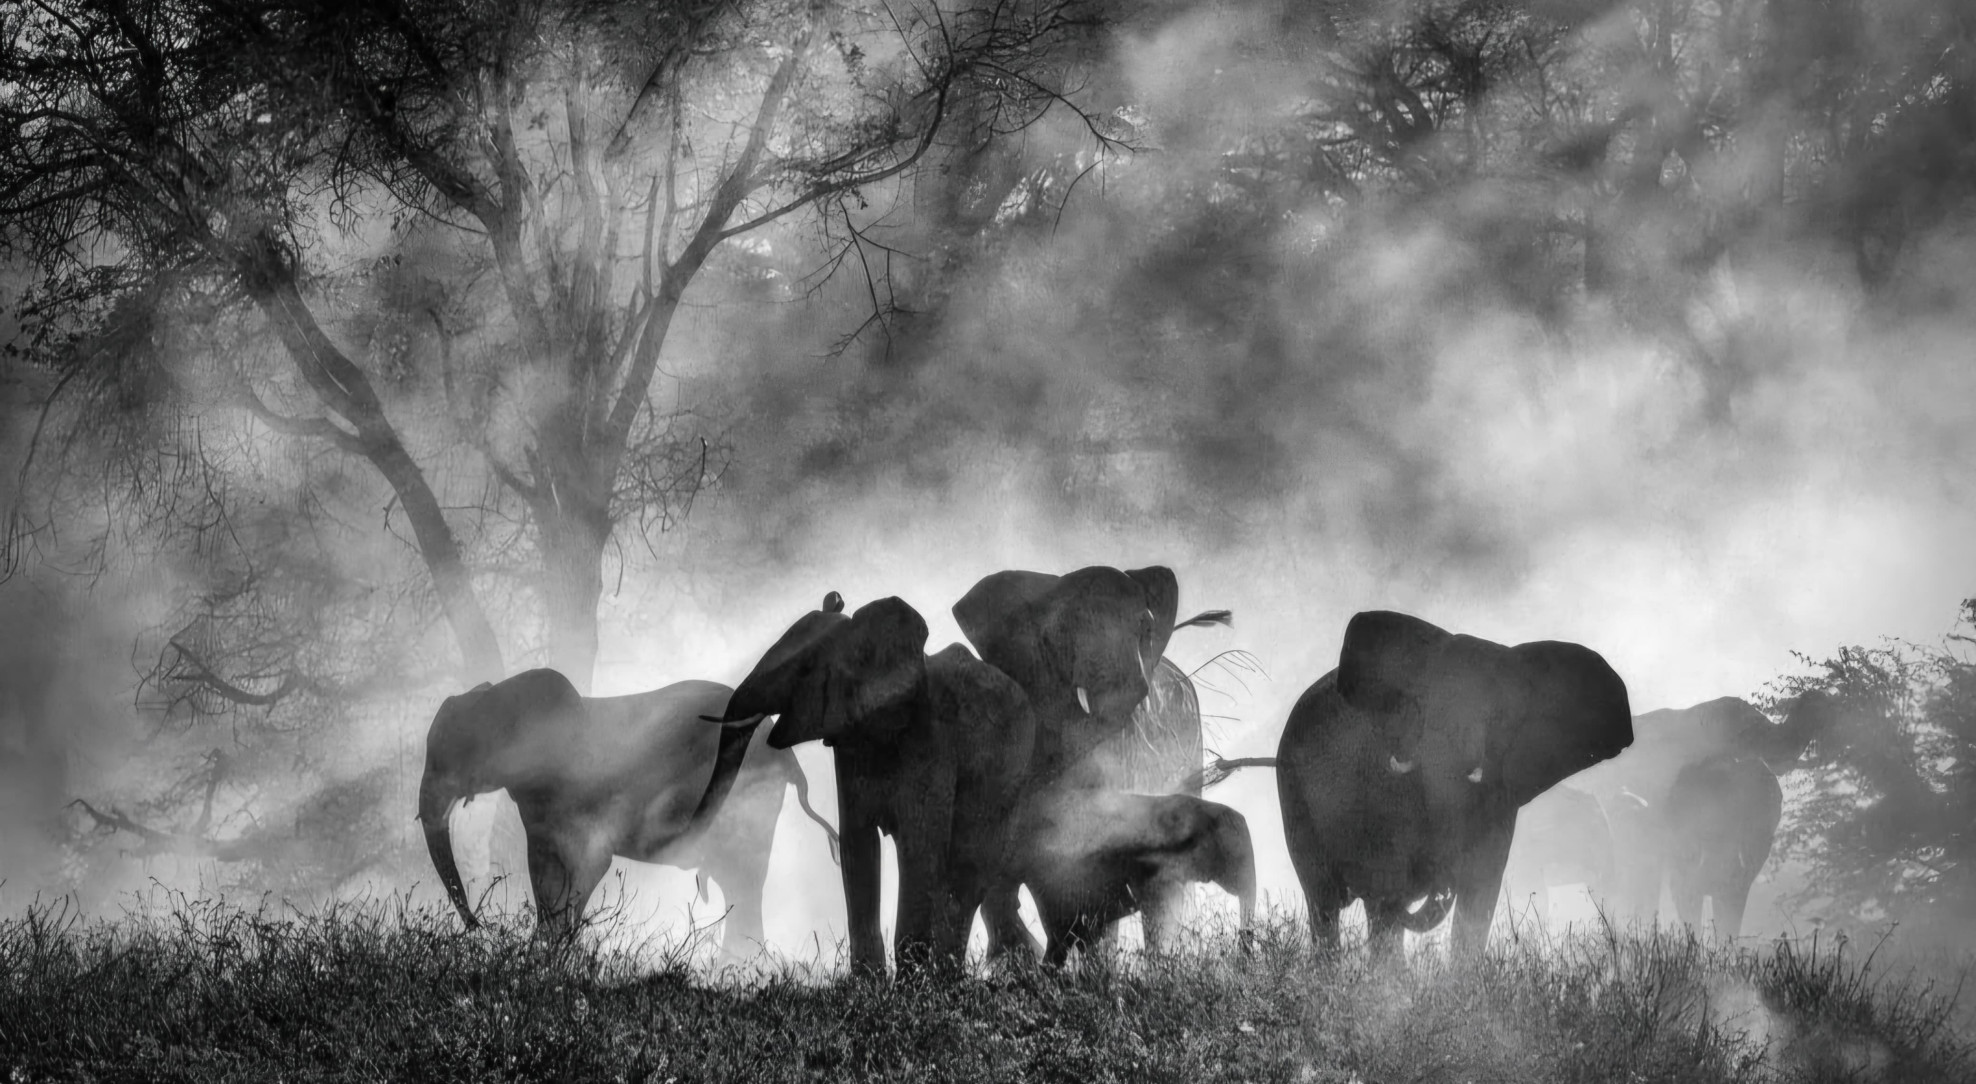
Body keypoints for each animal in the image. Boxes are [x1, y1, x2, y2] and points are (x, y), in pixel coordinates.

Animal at [418, 669, 838, 948]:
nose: (480, 928)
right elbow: (544, 873)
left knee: (743, 880)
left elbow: (589, 864)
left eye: (458, 752)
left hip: (749, 798)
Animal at [705, 593, 1036, 975]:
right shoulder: (849, 742)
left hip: (1009, 782)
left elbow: (918, 845)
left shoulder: (932, 739)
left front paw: (910, 981)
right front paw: (867, 980)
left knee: (969, 870)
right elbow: (857, 843)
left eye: (806, 669)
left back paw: (947, 975)